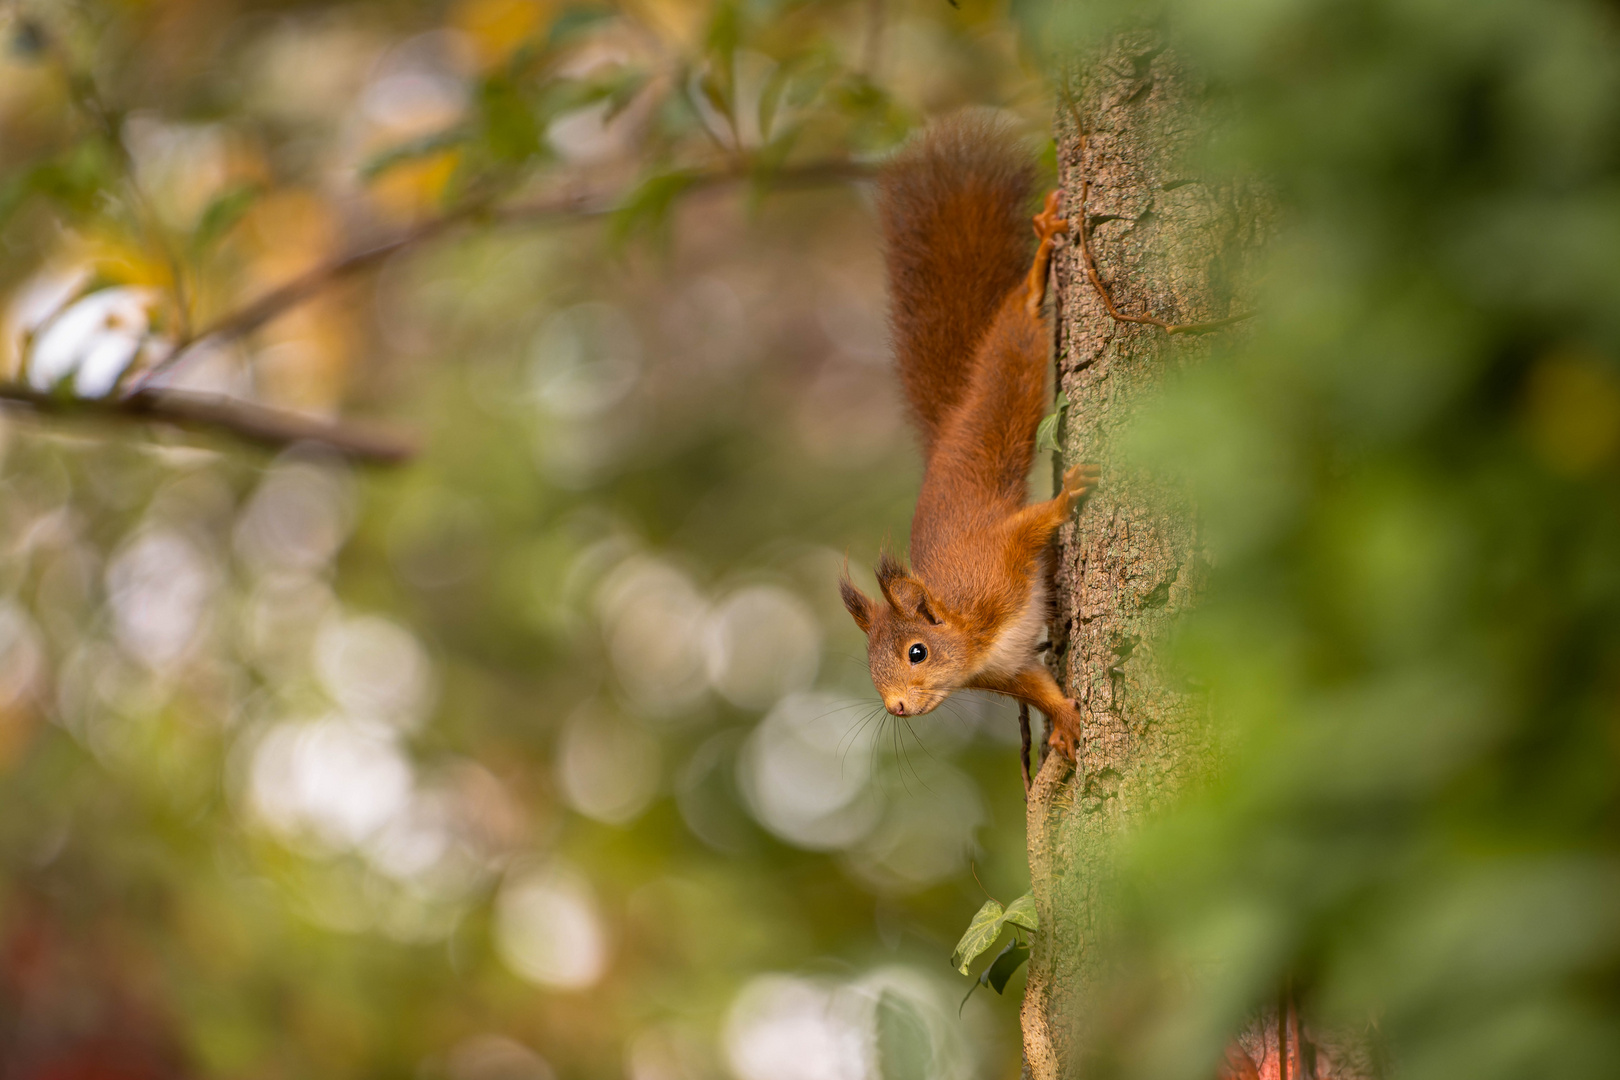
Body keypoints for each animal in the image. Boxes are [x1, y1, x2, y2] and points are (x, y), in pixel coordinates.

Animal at [842, 116, 1095, 761]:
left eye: (917, 652)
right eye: (870, 669)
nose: (896, 707)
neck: (971, 636)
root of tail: (948, 433)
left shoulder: (996, 562)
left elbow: (1032, 523)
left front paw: (1069, 495)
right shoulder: (1007, 668)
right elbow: (1038, 688)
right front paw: (1064, 722)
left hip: (998, 398)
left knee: (1016, 330)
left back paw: (1038, 266)